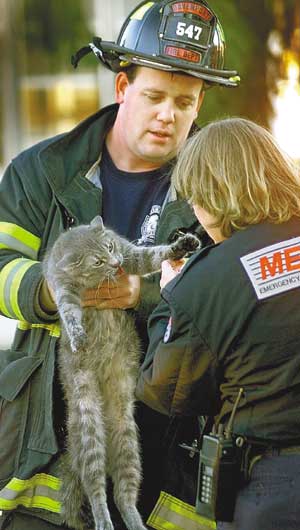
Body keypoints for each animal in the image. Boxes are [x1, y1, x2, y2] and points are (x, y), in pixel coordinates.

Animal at [43, 214, 199, 528]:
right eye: (98, 261)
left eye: (111, 246)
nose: (115, 264)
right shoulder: (63, 289)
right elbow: (70, 313)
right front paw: (77, 335)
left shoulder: (131, 255)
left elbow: (151, 256)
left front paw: (181, 246)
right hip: (88, 427)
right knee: (95, 487)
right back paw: (103, 519)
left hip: (128, 439)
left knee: (123, 494)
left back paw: (133, 520)